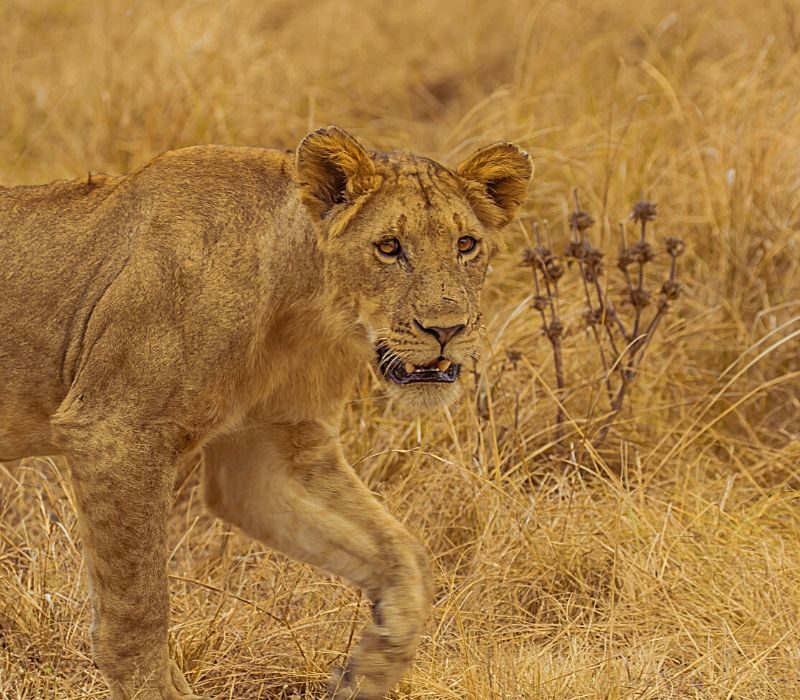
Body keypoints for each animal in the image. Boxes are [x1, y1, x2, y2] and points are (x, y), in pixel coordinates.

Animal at [0, 126, 532, 699]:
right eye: (389, 247)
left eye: (465, 245)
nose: (446, 329)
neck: (304, 309)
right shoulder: (114, 431)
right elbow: (137, 617)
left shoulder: (270, 452)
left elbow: (403, 556)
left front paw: (368, 670)